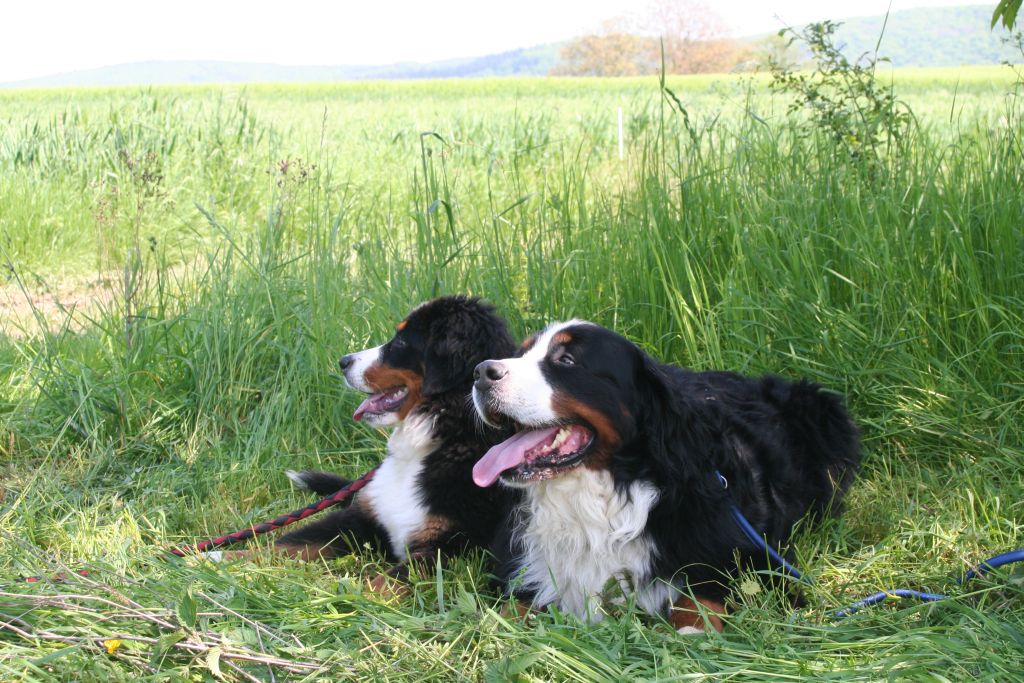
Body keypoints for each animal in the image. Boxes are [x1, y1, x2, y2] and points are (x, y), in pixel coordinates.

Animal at [276, 294, 516, 577]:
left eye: (401, 341)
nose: (343, 361)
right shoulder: (361, 517)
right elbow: (285, 543)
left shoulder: (452, 550)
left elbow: (381, 582)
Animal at [473, 323, 864, 634]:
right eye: (520, 353)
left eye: (566, 360)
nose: (481, 372)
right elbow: (510, 607)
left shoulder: (759, 560)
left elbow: (701, 596)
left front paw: (690, 630)